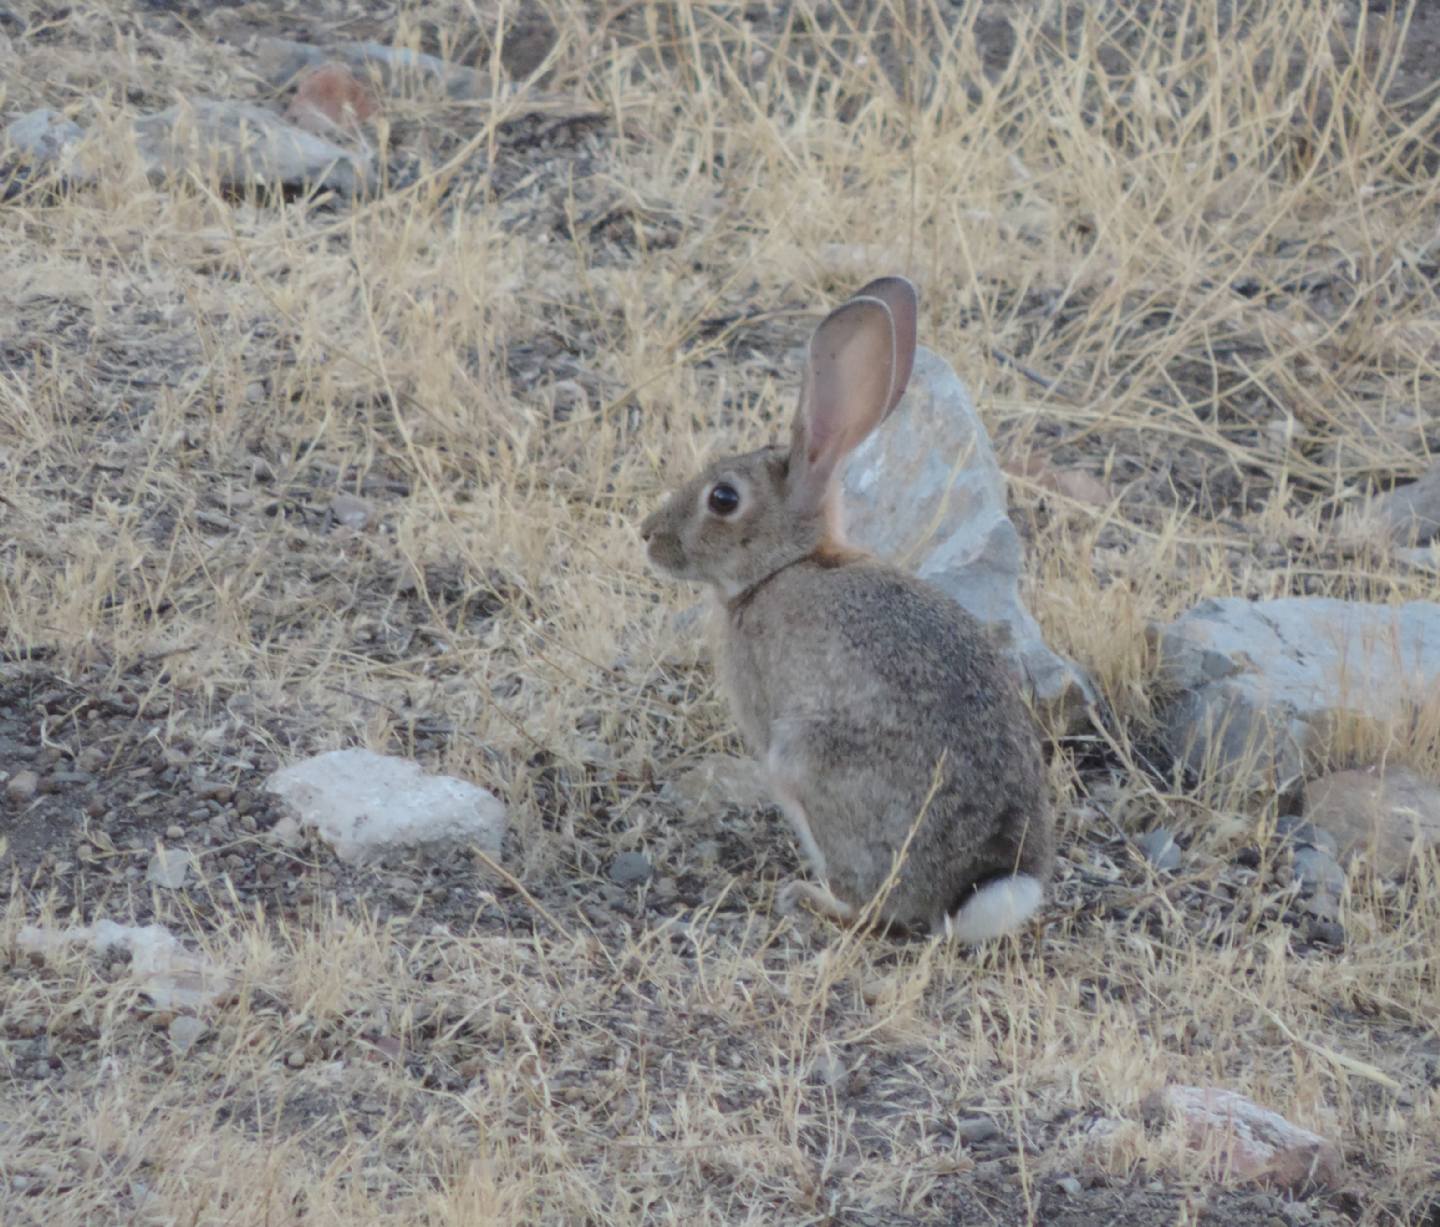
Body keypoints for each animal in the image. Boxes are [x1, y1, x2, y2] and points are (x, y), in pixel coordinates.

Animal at [642, 273, 1059, 933]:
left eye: (723, 498)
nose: (648, 536)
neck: (785, 565)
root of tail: (983, 885)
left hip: (806, 762)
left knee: (872, 904)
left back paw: (810, 897)